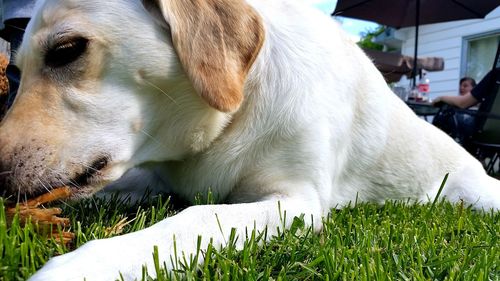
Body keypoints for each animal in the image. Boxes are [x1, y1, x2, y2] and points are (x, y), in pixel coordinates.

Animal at [0, 0, 498, 278]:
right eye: (14, 72)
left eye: (67, 50)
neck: (233, 113)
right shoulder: (153, 179)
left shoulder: (296, 202)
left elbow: (197, 216)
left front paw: (86, 265)